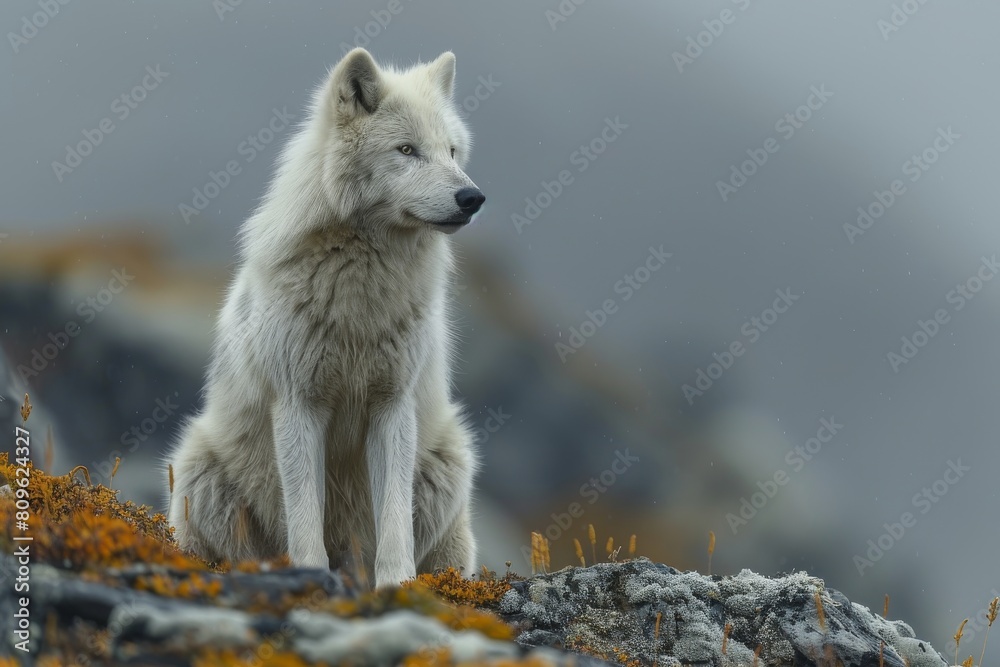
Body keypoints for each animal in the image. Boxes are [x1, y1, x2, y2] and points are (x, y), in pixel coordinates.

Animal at [166, 48, 485, 588]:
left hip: (451, 461)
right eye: (407, 150)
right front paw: (310, 577)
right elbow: (304, 518)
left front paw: (398, 586)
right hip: (196, 469)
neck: (361, 295)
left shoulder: (391, 405)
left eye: (452, 152)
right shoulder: (299, 405)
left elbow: (394, 519)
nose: (473, 198)